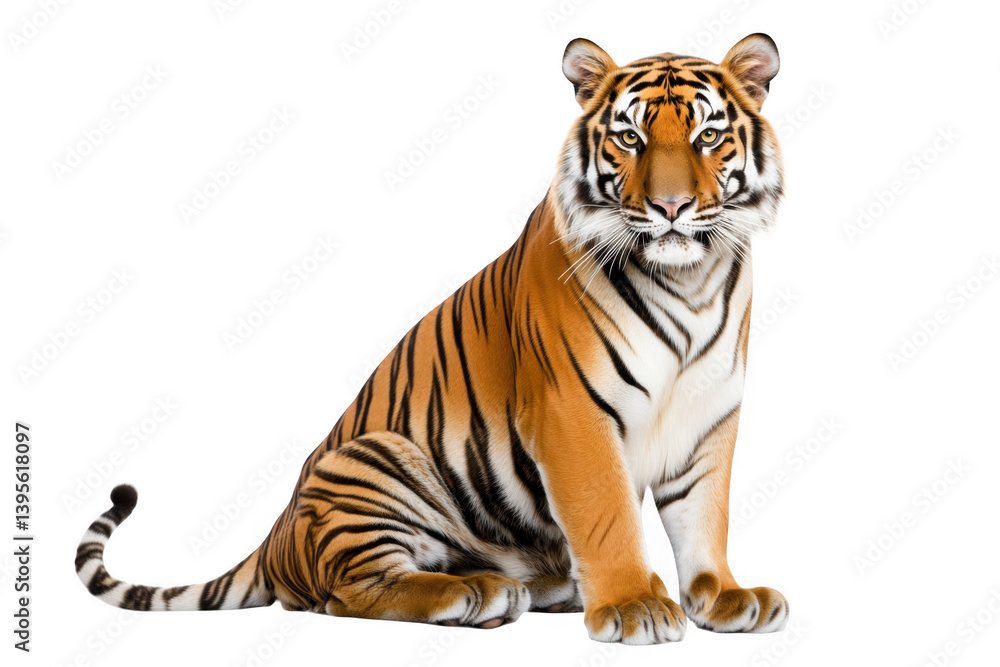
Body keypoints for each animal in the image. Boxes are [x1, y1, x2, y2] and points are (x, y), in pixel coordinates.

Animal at [76, 33, 788, 645]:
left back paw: (535, 585)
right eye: (631, 139)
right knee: (347, 593)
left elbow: (704, 515)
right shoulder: (574, 414)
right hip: (376, 461)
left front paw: (723, 598)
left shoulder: (709, 412)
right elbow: (607, 514)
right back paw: (478, 594)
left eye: (707, 136)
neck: (689, 281)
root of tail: (277, 536)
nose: (671, 208)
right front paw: (634, 604)